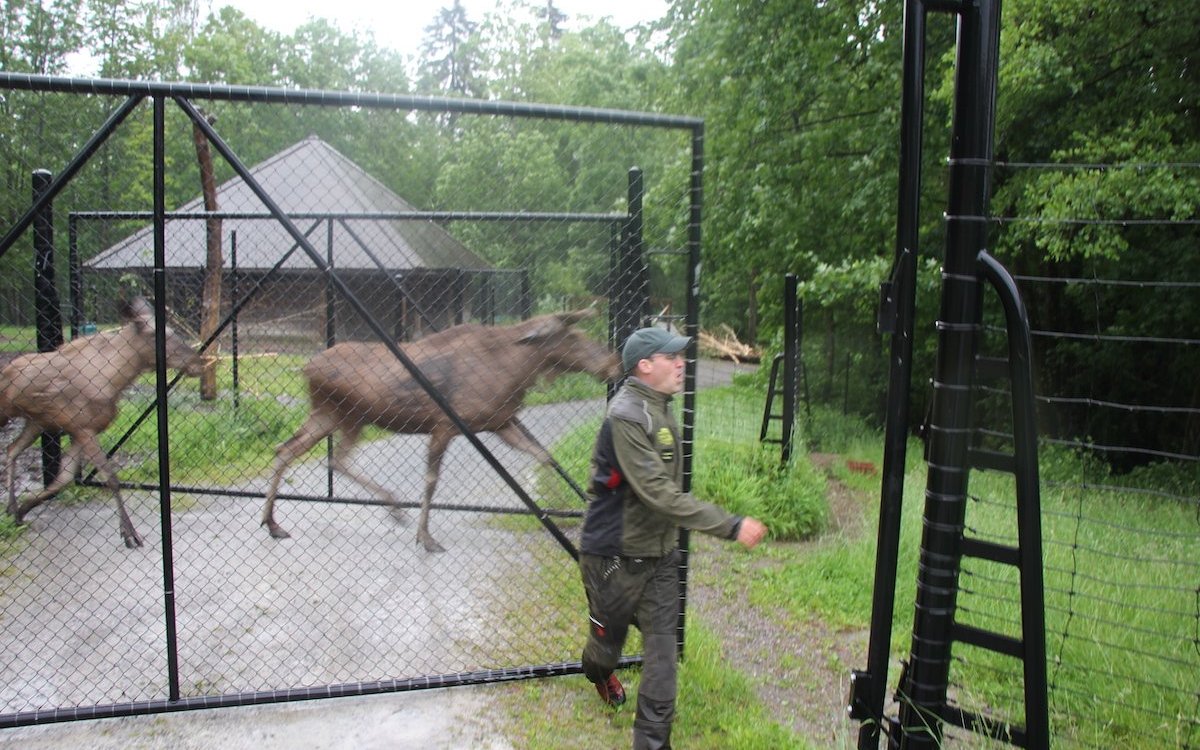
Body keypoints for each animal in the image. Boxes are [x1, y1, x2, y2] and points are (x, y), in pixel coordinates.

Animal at [0, 295, 204, 547]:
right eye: (158, 334)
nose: (198, 363)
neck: (117, 379)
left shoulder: (79, 431)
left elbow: (63, 479)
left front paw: (23, 510)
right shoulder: (83, 429)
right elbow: (111, 478)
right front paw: (129, 533)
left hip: (35, 423)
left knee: (12, 449)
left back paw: (11, 507)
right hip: (10, 414)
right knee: (12, 448)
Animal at [260, 309, 619, 549]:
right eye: (573, 336)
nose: (612, 363)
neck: (519, 370)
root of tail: (306, 367)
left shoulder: (501, 423)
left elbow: (544, 456)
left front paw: (570, 504)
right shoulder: (445, 426)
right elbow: (432, 481)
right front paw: (425, 536)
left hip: (330, 415)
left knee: (290, 450)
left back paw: (273, 523)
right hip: (350, 417)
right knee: (331, 458)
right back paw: (393, 508)